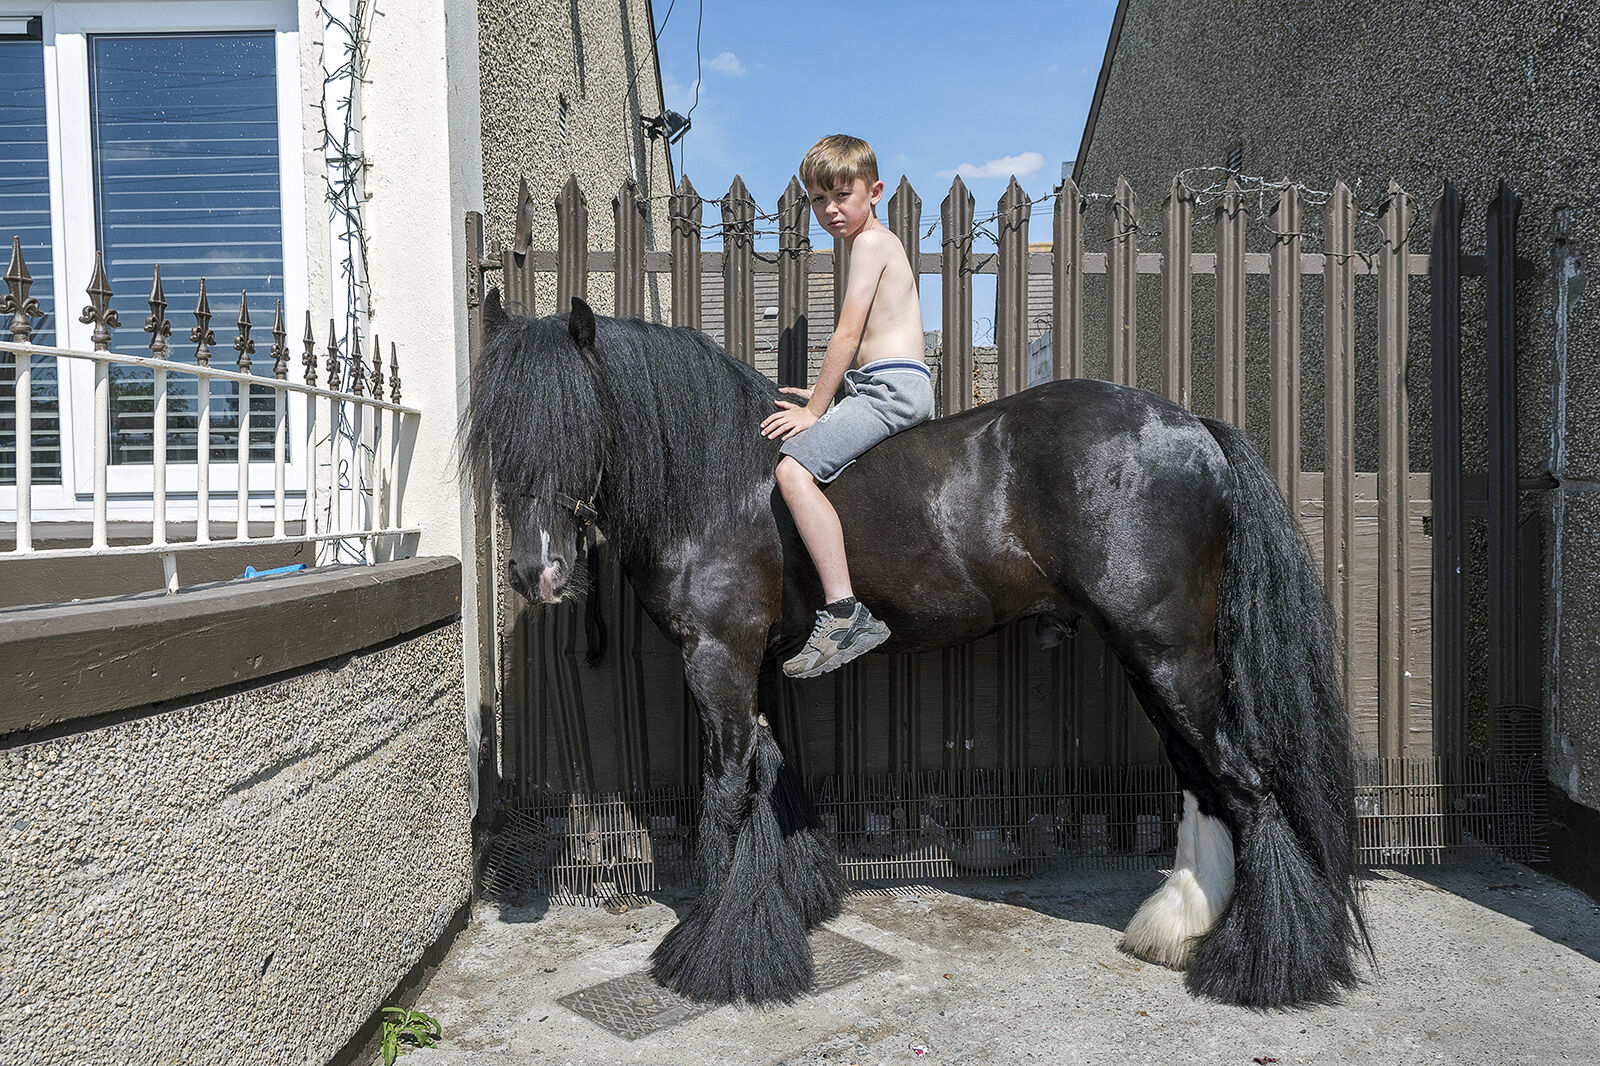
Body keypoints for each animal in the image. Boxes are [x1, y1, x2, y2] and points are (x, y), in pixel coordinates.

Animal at [462, 297, 1371, 1010]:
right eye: (498, 434)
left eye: (580, 422)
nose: (538, 573)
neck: (720, 487)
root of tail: (1198, 431)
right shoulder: (755, 664)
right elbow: (770, 774)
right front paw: (788, 905)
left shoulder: (718, 657)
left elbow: (724, 792)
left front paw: (717, 955)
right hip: (1152, 656)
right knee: (1202, 779)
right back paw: (1181, 929)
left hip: (1169, 651)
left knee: (1246, 783)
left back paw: (1268, 967)